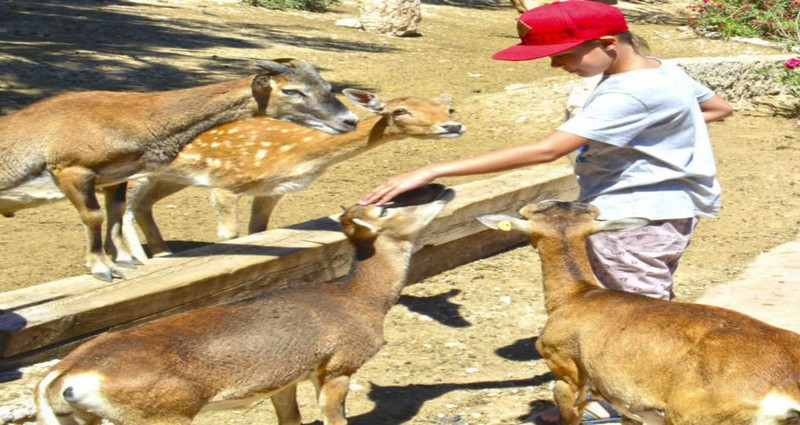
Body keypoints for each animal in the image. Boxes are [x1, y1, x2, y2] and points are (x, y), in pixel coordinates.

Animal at [0, 57, 356, 282]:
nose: (349, 120)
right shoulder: (71, 170)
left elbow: (114, 216)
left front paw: (125, 261)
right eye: (292, 90)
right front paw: (102, 269)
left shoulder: (115, 178)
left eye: (326, 85)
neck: (124, 120)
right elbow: (95, 217)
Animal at [36, 182, 456, 424]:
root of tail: (62, 379)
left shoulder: (287, 379)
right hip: (163, 417)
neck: (360, 298)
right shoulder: (338, 368)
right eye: (384, 207)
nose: (443, 186)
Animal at [122, 88, 466, 260]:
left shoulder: (272, 191)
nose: (453, 125)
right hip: (135, 173)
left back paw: (162, 253)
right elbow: (230, 236)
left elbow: (258, 231)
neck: (300, 154)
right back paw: (134, 260)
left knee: (144, 206)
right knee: (123, 208)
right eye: (400, 111)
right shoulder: (226, 183)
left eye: (448, 109)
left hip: (171, 178)